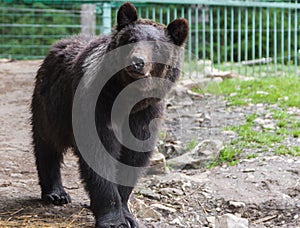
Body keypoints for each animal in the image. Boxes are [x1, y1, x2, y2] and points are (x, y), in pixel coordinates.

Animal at [31, 2, 189, 228]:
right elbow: (100, 155)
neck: (126, 99)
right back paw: (55, 193)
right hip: (52, 105)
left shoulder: (144, 115)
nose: (137, 62)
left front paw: (128, 215)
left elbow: (133, 157)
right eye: (131, 40)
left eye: (157, 47)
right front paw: (113, 219)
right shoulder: (97, 106)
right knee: (47, 142)